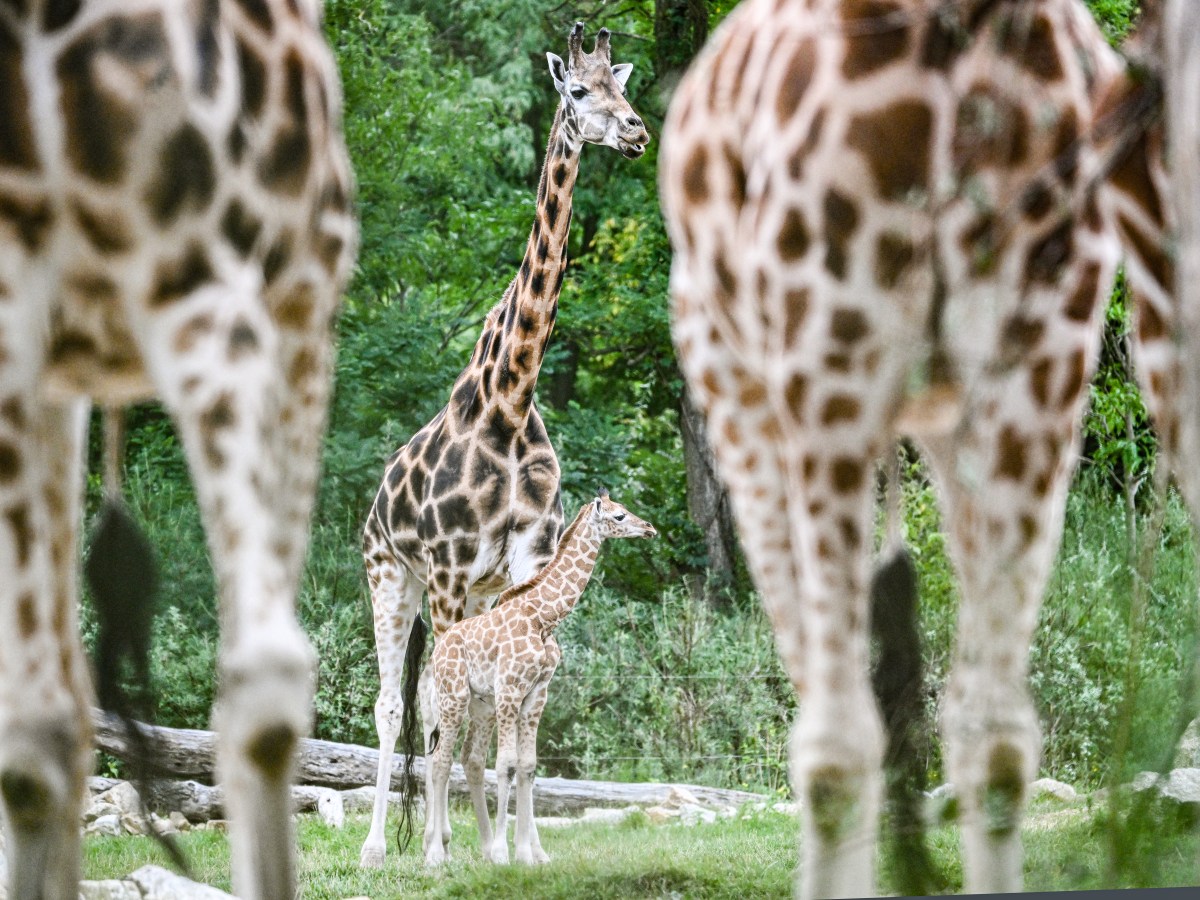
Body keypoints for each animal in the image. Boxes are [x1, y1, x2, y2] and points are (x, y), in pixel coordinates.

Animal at [417, 494, 652, 868]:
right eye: (619, 516)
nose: (649, 528)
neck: (543, 618)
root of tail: (437, 653)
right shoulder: (510, 689)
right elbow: (506, 765)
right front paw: (503, 854)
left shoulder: (536, 694)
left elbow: (527, 766)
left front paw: (528, 854)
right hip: (454, 697)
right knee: (440, 761)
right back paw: (437, 854)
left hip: (477, 703)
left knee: (464, 759)